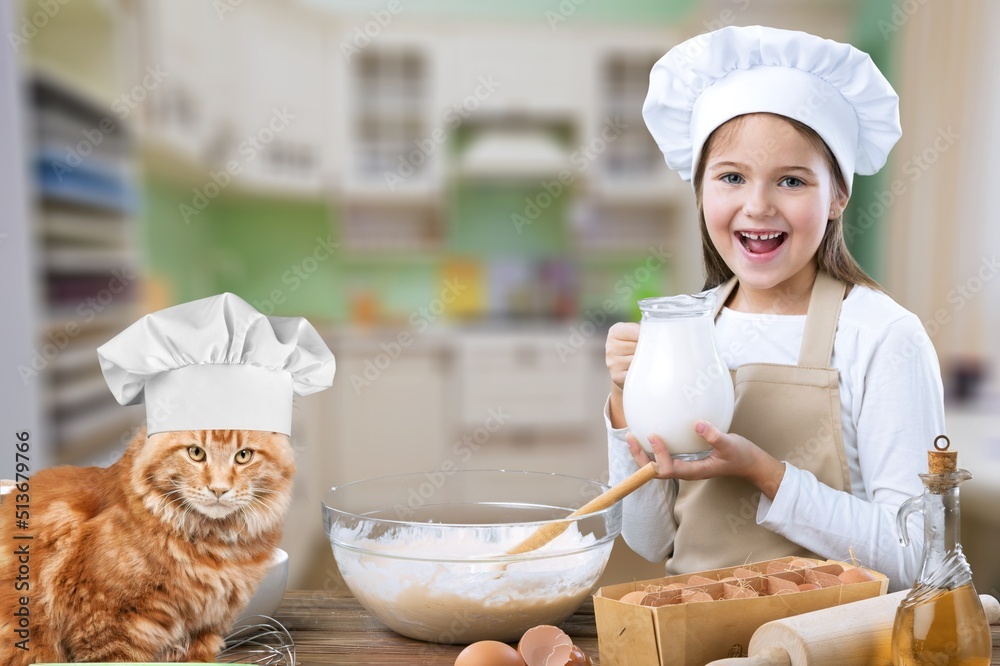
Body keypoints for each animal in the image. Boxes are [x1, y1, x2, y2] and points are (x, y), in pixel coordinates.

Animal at [0, 428, 294, 660]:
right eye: (196, 453)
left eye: (243, 456)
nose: (219, 489)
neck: (214, 549)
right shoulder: (105, 626)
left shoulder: (204, 631)